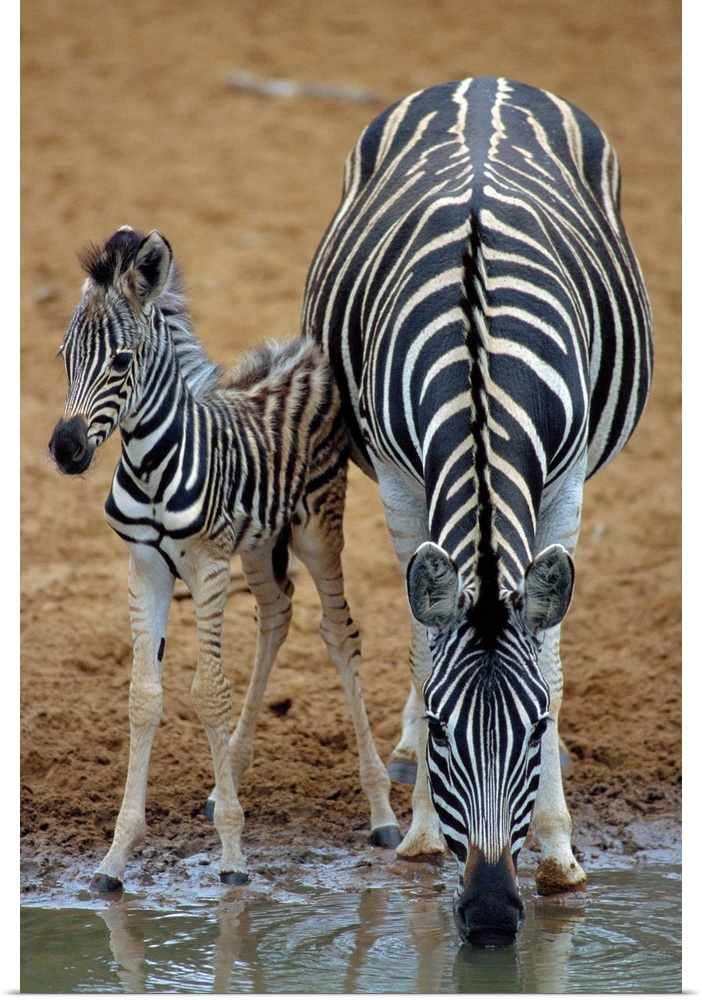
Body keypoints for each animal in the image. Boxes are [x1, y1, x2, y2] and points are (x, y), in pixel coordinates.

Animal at [48, 227, 402, 892]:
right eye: (63, 357)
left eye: (121, 362)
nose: (65, 449)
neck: (150, 463)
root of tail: (301, 349)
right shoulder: (146, 569)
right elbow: (143, 697)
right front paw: (115, 859)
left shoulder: (207, 567)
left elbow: (209, 693)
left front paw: (234, 856)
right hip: (261, 543)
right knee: (277, 613)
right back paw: (226, 778)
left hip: (317, 527)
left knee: (339, 634)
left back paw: (383, 814)